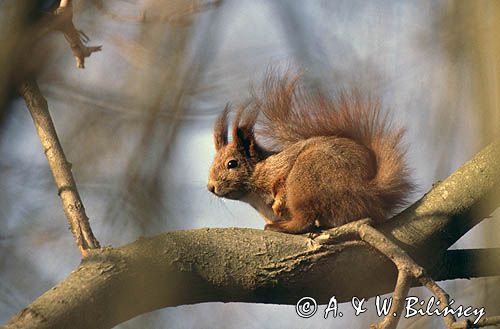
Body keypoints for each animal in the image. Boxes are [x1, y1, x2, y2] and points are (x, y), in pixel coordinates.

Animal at [207, 73, 414, 233]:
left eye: (232, 164)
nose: (210, 187)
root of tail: (369, 190)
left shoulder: (282, 168)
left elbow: (281, 186)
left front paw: (278, 203)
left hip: (305, 177)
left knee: (304, 218)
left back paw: (283, 227)